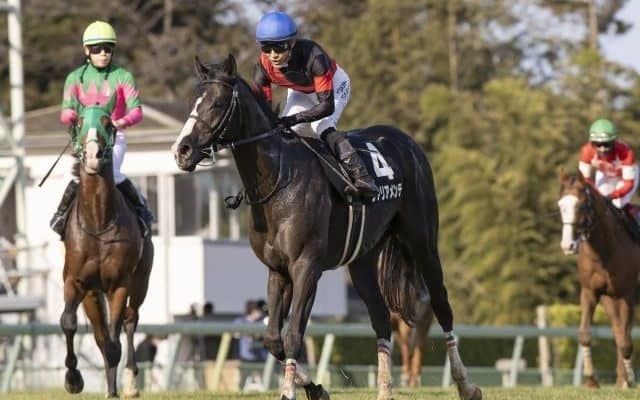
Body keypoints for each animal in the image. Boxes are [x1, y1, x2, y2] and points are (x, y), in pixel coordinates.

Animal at [59, 105, 154, 397]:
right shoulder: (76, 281)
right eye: (79, 122)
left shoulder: (119, 284)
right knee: (101, 334)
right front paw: (73, 379)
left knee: (130, 320)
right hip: (92, 294)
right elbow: (69, 322)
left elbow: (115, 342)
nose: (93, 155)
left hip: (141, 281)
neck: (99, 221)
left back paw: (130, 383)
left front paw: (116, 389)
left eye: (109, 124)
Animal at [172, 54, 481, 400]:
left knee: (441, 304)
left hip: (423, 241)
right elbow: (273, 339)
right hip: (362, 260)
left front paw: (289, 392)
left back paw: (466, 385)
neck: (278, 179)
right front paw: (315, 388)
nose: (182, 150)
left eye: (218, 103)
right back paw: (384, 390)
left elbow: (293, 334)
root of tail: (407, 142)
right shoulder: (277, 270)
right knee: (380, 317)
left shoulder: (307, 266)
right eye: (194, 101)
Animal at [557, 171, 640, 388]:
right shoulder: (590, 292)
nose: (567, 245)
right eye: (560, 205)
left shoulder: (627, 296)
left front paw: (630, 379)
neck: (604, 251)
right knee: (618, 331)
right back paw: (620, 379)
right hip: (609, 300)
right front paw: (591, 380)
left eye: (581, 205)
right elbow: (585, 334)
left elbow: (626, 342)